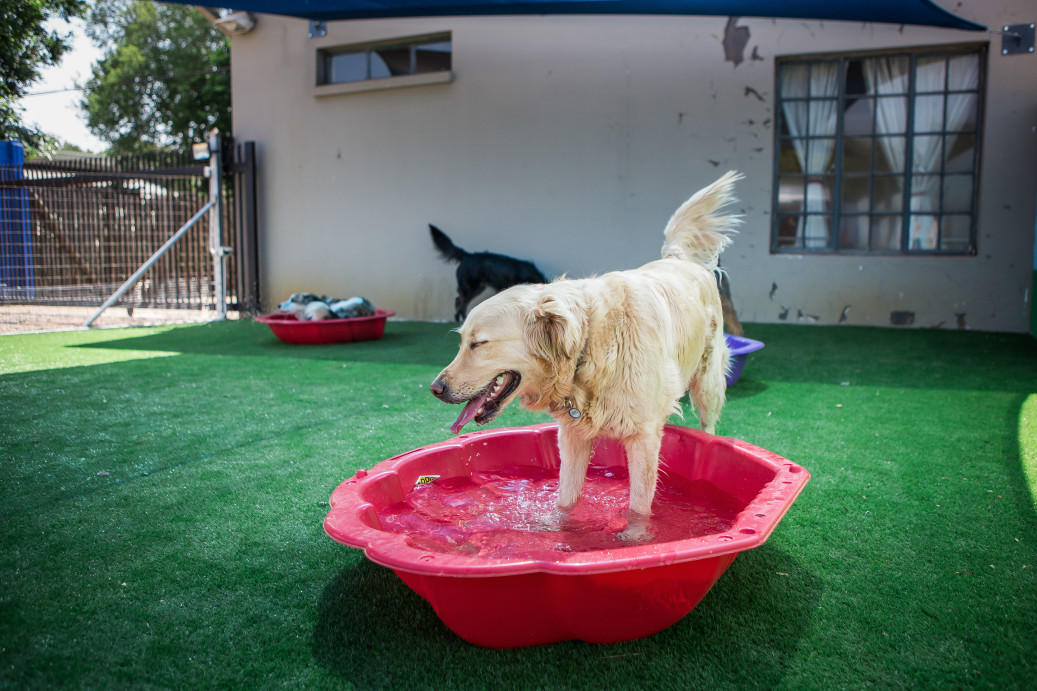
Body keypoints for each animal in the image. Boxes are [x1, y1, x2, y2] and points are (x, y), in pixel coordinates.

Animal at [431, 172, 746, 539]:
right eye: (462, 341)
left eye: (478, 343)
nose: (435, 388)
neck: (589, 346)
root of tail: (676, 258)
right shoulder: (573, 436)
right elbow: (566, 501)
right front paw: (559, 531)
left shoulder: (643, 440)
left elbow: (639, 508)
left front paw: (634, 541)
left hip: (708, 381)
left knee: (708, 425)